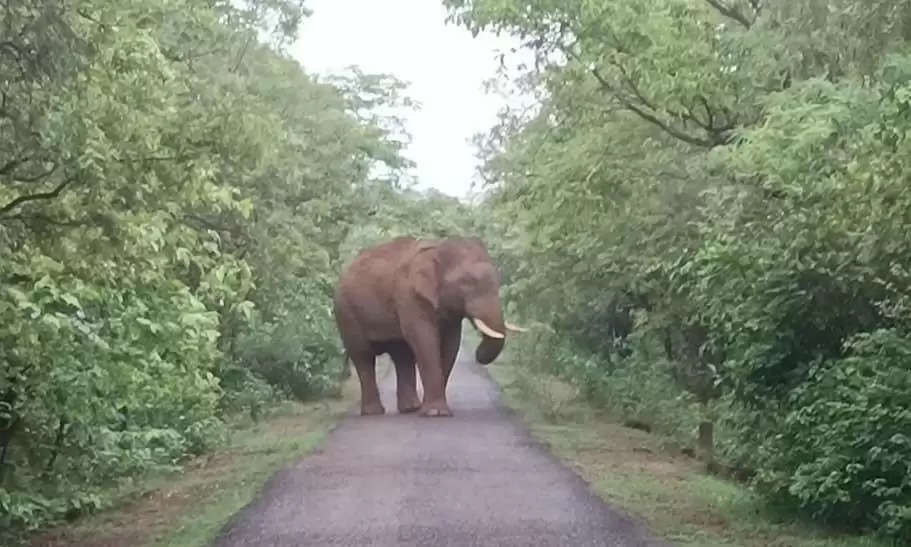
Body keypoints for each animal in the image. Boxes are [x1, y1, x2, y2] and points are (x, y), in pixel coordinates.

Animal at [334, 237, 524, 420]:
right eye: (467, 282)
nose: (478, 355)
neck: (437, 248)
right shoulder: (409, 296)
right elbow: (424, 339)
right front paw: (435, 413)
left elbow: (450, 344)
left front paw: (435, 411)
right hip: (346, 313)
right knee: (363, 356)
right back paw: (374, 412)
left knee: (402, 355)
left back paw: (411, 408)